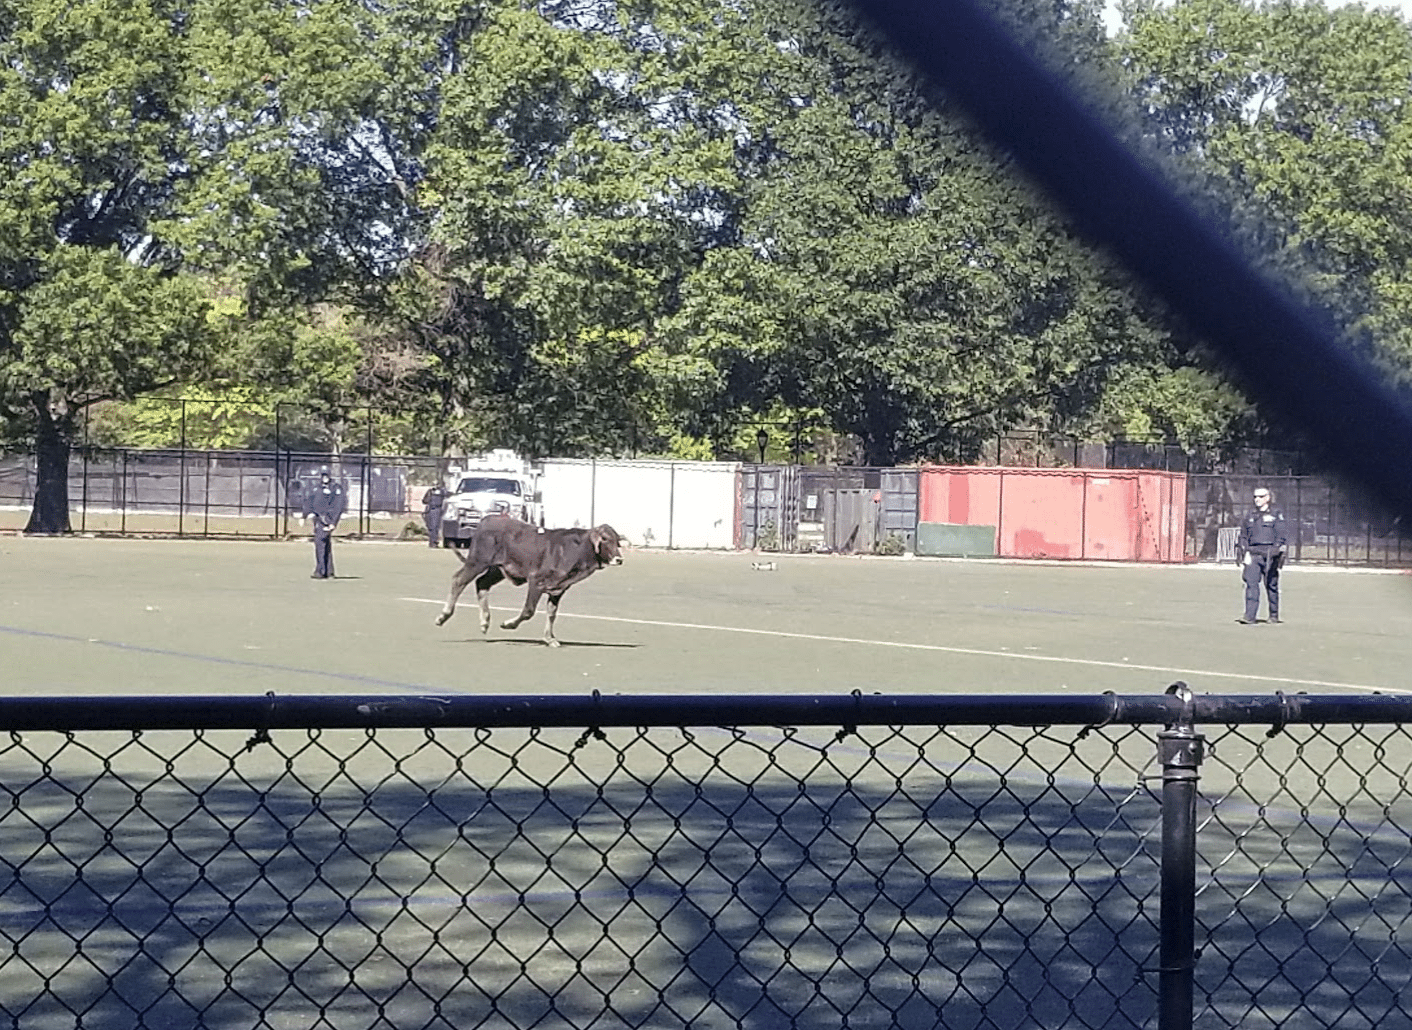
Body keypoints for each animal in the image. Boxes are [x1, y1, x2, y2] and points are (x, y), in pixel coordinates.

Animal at [435, 516, 624, 646]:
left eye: (617, 541)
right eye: (605, 539)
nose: (619, 559)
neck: (576, 549)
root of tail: (486, 520)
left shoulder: (558, 589)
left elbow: (551, 613)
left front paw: (549, 638)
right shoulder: (536, 581)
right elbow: (528, 611)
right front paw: (508, 624)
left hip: (497, 570)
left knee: (482, 584)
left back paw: (485, 622)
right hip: (477, 562)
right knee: (459, 580)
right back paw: (443, 616)